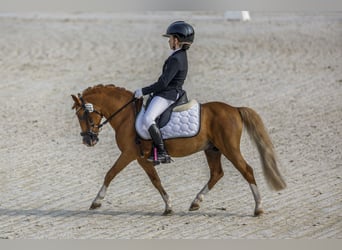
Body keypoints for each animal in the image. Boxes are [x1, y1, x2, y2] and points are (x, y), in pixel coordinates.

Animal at [72, 84, 286, 217]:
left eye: (83, 115)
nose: (88, 140)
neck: (126, 116)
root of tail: (234, 109)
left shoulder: (129, 154)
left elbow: (110, 173)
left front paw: (97, 201)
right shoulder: (141, 158)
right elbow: (155, 180)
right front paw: (168, 207)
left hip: (229, 149)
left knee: (246, 170)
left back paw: (258, 208)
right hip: (212, 149)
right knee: (217, 173)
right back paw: (196, 202)